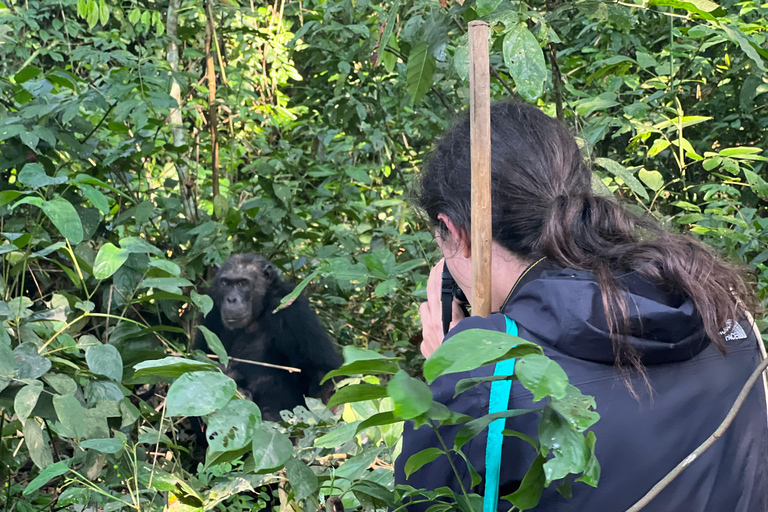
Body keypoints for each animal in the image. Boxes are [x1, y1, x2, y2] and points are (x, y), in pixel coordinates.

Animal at [198, 254, 342, 422]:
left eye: (242, 283)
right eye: (225, 283)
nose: (231, 299)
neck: (259, 310)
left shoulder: (294, 310)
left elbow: (324, 372)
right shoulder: (211, 306)